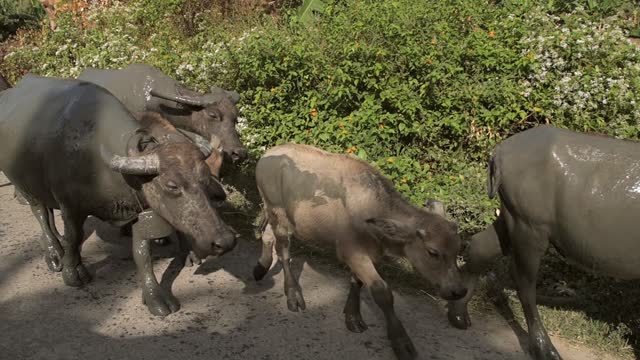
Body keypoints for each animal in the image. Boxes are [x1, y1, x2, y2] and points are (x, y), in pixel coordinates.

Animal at [0, 75, 238, 316]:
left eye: (205, 178)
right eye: (171, 185)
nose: (225, 241)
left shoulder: (141, 210)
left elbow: (142, 253)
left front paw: (154, 296)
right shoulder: (70, 206)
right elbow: (75, 237)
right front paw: (72, 272)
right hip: (24, 184)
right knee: (40, 213)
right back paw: (54, 252)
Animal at [252, 143, 468, 360]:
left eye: (457, 248)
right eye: (432, 252)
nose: (458, 291)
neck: (371, 207)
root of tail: (269, 152)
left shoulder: (368, 253)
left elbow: (357, 282)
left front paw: (352, 316)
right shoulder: (351, 252)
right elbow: (382, 292)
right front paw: (401, 341)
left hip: (275, 214)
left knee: (268, 235)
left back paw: (261, 268)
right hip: (277, 211)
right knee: (284, 251)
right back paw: (293, 294)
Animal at [448, 124, 640, 360]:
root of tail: (499, 151)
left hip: (510, 218)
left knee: (479, 248)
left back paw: (458, 314)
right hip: (529, 226)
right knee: (524, 281)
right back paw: (545, 349)